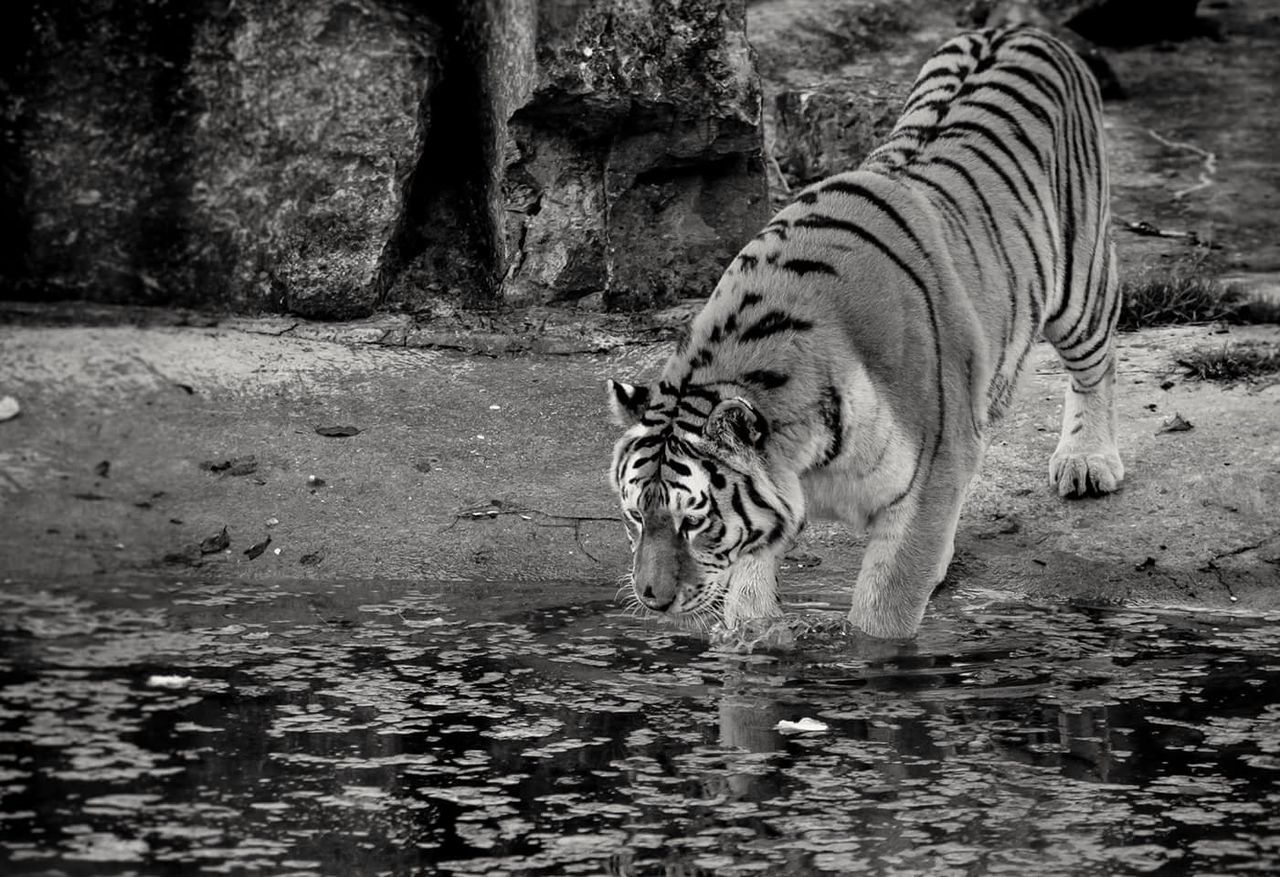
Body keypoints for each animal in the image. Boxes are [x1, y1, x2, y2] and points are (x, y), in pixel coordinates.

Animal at [606, 20, 1121, 635]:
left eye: (693, 522)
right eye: (636, 515)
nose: (650, 598)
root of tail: (1017, 27)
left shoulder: (931, 475)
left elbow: (883, 610)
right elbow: (749, 591)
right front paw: (755, 640)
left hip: (1081, 285)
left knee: (1097, 365)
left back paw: (1087, 460)